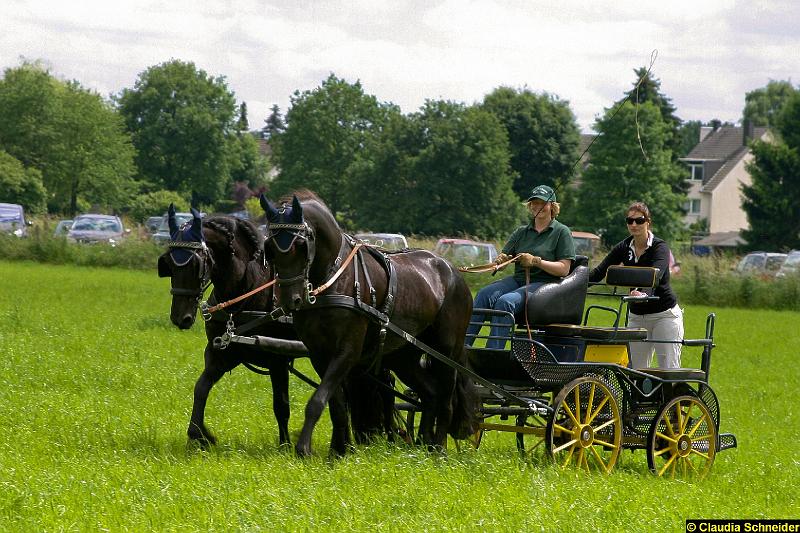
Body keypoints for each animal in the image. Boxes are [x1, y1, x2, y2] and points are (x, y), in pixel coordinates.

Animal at [155, 207, 296, 444]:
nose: (180, 317)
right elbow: (201, 387)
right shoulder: (222, 352)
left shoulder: (278, 359)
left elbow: (281, 405)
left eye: (196, 264)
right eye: (170, 264)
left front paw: (285, 444)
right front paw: (200, 434)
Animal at [262, 189, 478, 456]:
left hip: (445, 351)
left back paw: (438, 448)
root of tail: (453, 271)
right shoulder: (318, 354)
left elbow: (317, 400)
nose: (292, 299)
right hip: (404, 356)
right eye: (270, 247)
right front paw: (338, 452)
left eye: (301, 245)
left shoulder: (348, 351)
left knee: (446, 400)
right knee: (430, 394)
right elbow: (336, 405)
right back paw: (422, 445)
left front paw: (303, 449)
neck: (333, 277)